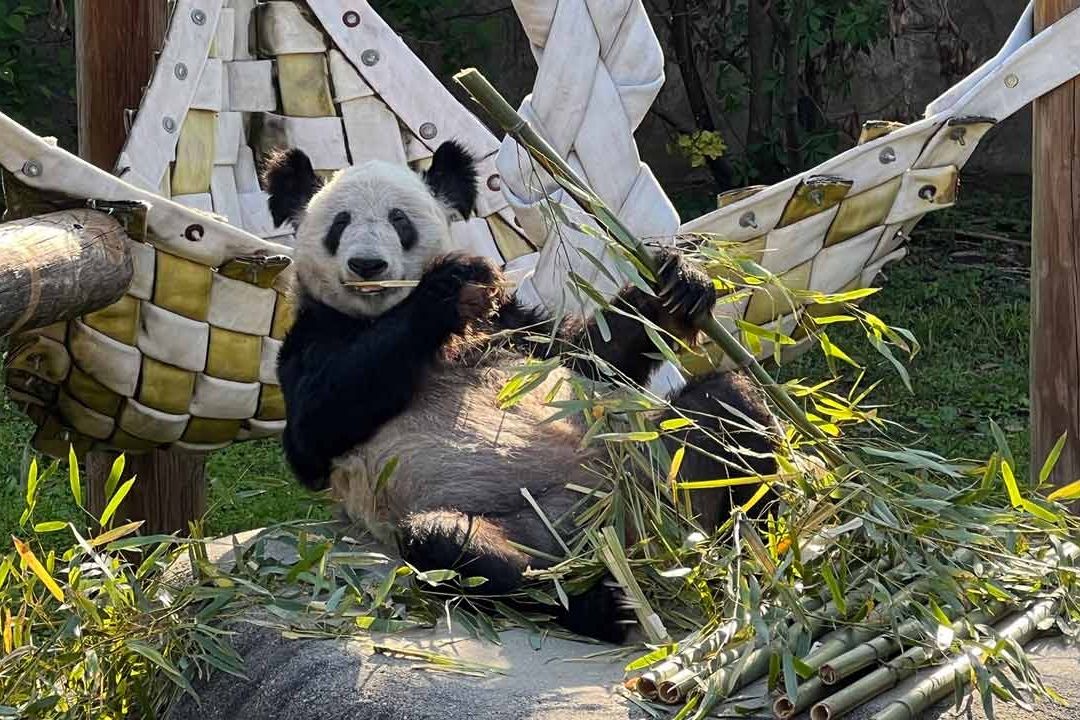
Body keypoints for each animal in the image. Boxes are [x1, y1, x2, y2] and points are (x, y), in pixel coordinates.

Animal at [264, 141, 781, 643]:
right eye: (340, 223)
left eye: (399, 220)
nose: (368, 265)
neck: (380, 313)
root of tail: (629, 529)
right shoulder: (310, 342)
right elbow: (314, 427)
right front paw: (450, 283)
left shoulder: (513, 326)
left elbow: (589, 355)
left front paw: (676, 282)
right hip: (525, 524)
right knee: (458, 548)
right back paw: (605, 601)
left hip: (660, 461)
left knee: (728, 409)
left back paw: (762, 541)